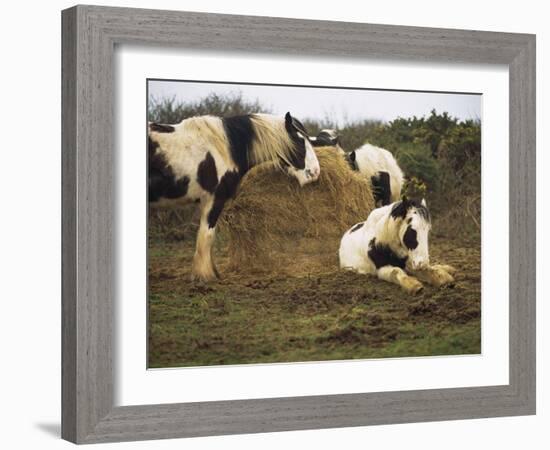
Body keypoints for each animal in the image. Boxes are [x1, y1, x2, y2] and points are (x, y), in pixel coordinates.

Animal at [149, 111, 322, 282]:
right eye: (299, 142)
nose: (315, 172)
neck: (223, 149)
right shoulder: (214, 199)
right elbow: (207, 236)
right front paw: (205, 276)